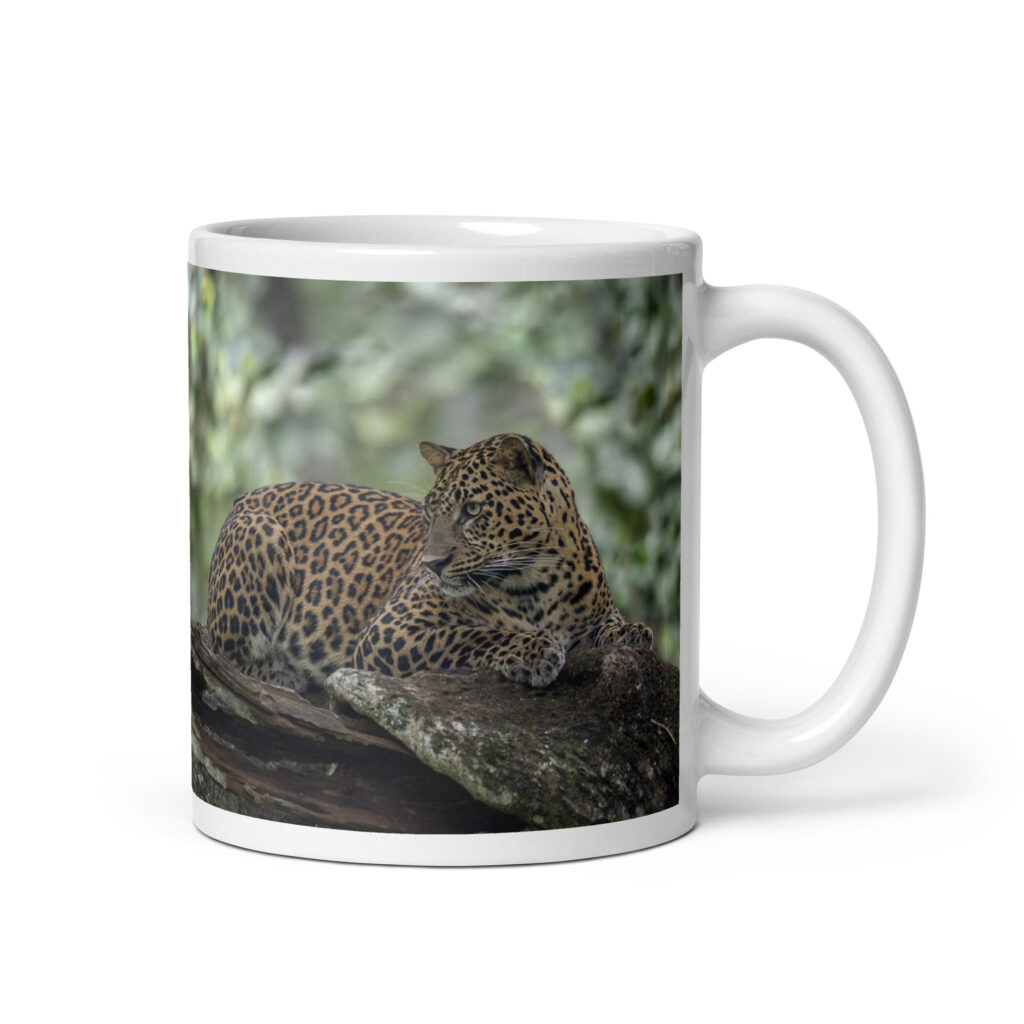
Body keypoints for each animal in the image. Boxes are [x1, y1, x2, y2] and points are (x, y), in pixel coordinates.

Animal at [206, 433, 654, 692]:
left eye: (472, 510)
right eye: (428, 512)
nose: (432, 565)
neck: (537, 578)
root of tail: (245, 496)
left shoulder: (594, 609)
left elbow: (609, 624)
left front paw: (632, 633)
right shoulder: (388, 631)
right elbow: (468, 636)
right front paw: (534, 650)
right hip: (259, 533)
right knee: (230, 659)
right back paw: (286, 676)